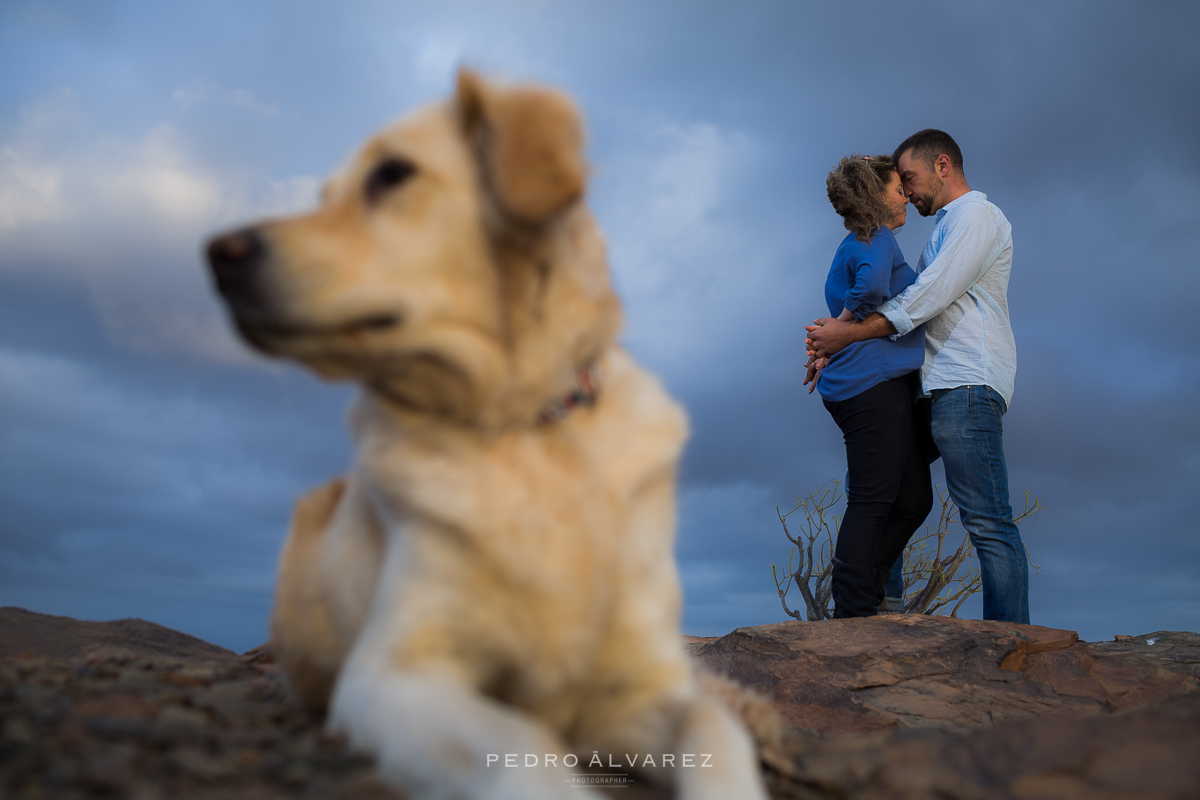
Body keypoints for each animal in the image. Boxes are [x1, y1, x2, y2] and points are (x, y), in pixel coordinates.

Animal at [206, 70, 768, 800]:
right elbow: (524, 744)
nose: (218, 255)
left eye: (391, 173)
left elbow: (711, 725)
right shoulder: (393, 671)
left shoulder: (636, 687)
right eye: (322, 195)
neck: (525, 426)